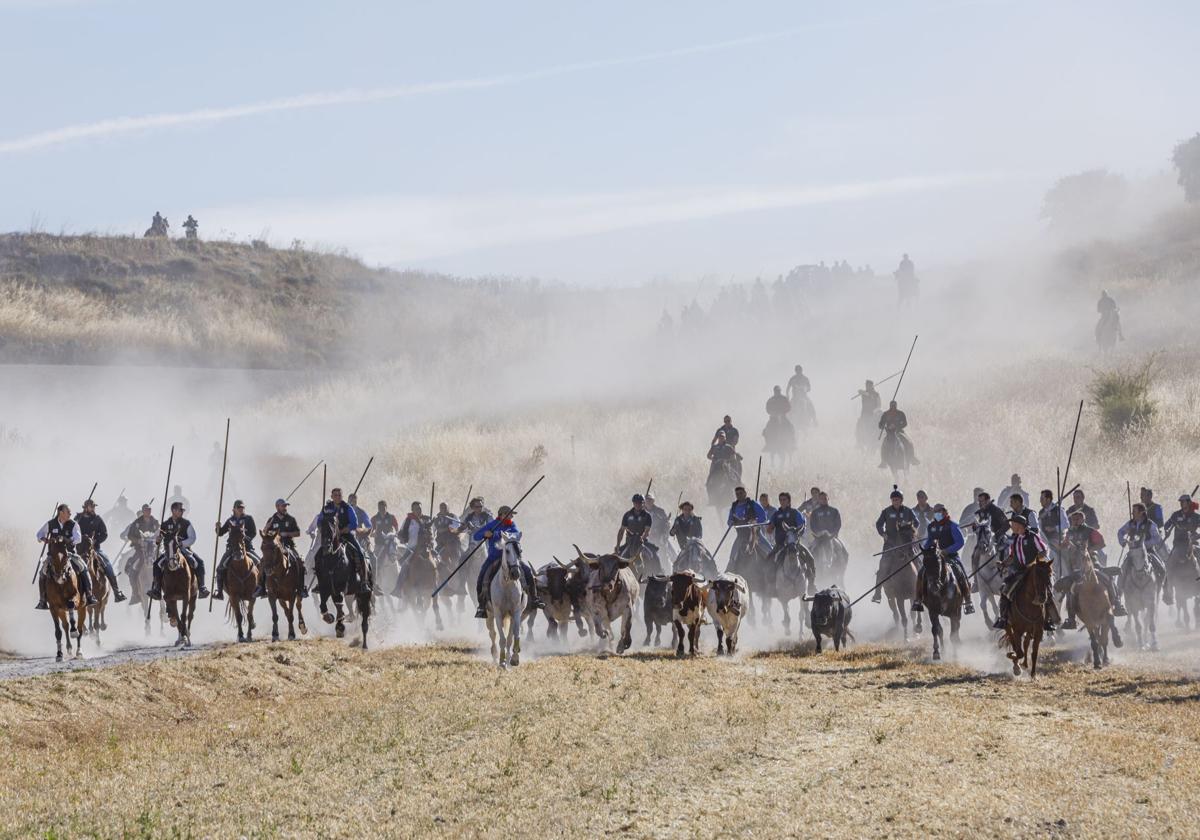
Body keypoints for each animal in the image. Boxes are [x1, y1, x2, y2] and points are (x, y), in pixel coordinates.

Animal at [484, 535, 528, 667]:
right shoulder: (498, 613)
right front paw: (502, 662)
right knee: (492, 634)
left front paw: (514, 659)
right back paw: (495, 656)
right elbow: (502, 639)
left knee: (508, 636)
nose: (515, 573)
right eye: (507, 551)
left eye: (520, 550)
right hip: (489, 615)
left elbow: (514, 636)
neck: (507, 585)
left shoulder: (516, 613)